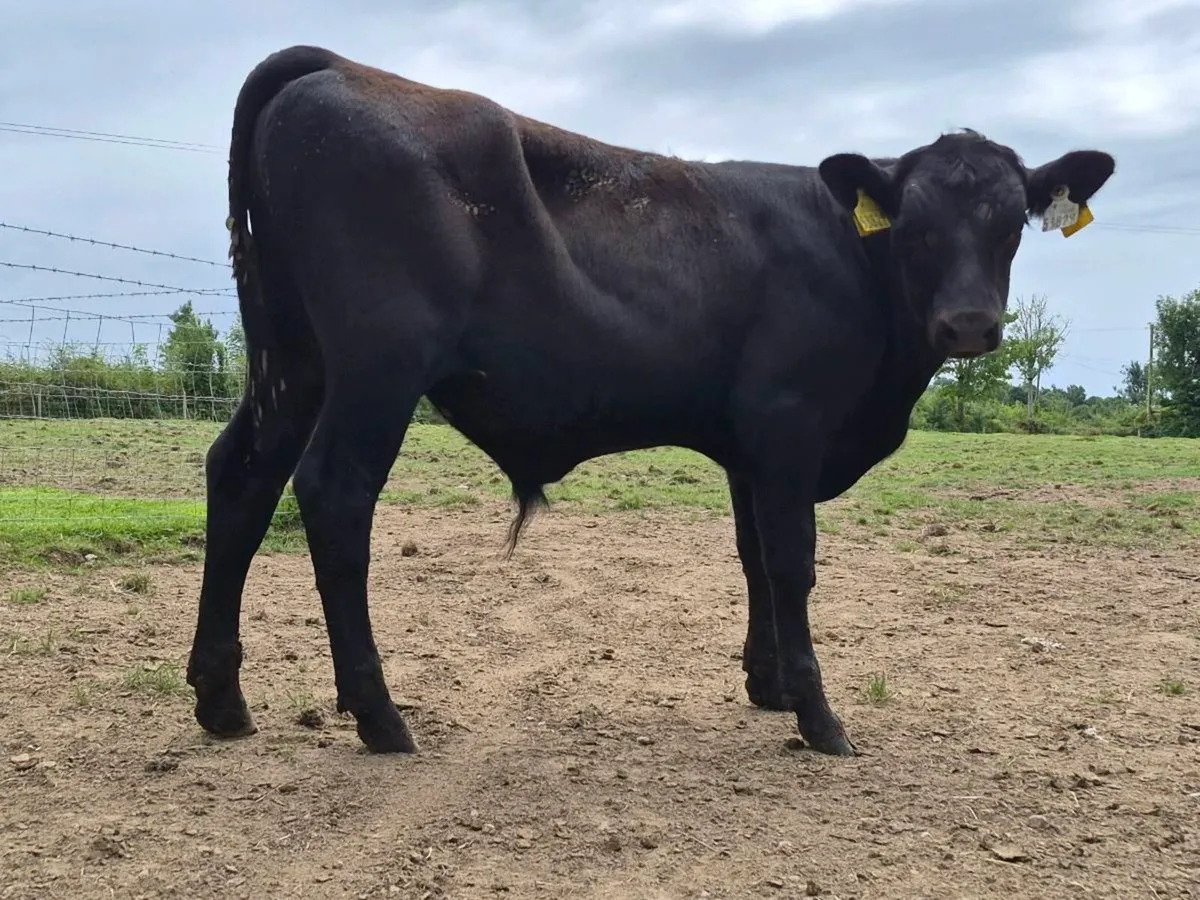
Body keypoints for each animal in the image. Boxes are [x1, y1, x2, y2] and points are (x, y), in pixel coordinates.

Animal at [186, 44, 1115, 759]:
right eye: (916, 227)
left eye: (1010, 223)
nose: (969, 323)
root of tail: (339, 67)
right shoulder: (789, 424)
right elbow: (793, 562)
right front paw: (818, 715)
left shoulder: (748, 445)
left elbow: (752, 558)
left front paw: (769, 684)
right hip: (377, 367)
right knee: (334, 495)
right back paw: (379, 715)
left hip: (292, 361)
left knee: (240, 477)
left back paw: (220, 699)